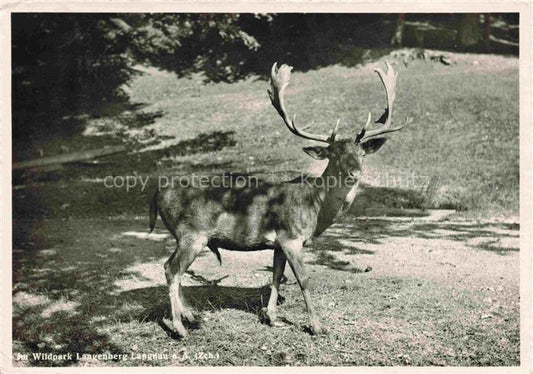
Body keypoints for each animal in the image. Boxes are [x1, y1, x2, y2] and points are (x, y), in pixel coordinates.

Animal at [148, 60, 406, 336]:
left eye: (361, 153)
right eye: (333, 154)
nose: (355, 173)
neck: (314, 208)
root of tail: (158, 192)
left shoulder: (278, 243)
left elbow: (276, 276)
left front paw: (272, 317)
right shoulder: (291, 237)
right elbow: (303, 279)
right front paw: (317, 325)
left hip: (186, 236)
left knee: (169, 267)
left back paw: (190, 316)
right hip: (192, 233)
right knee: (172, 270)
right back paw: (179, 327)